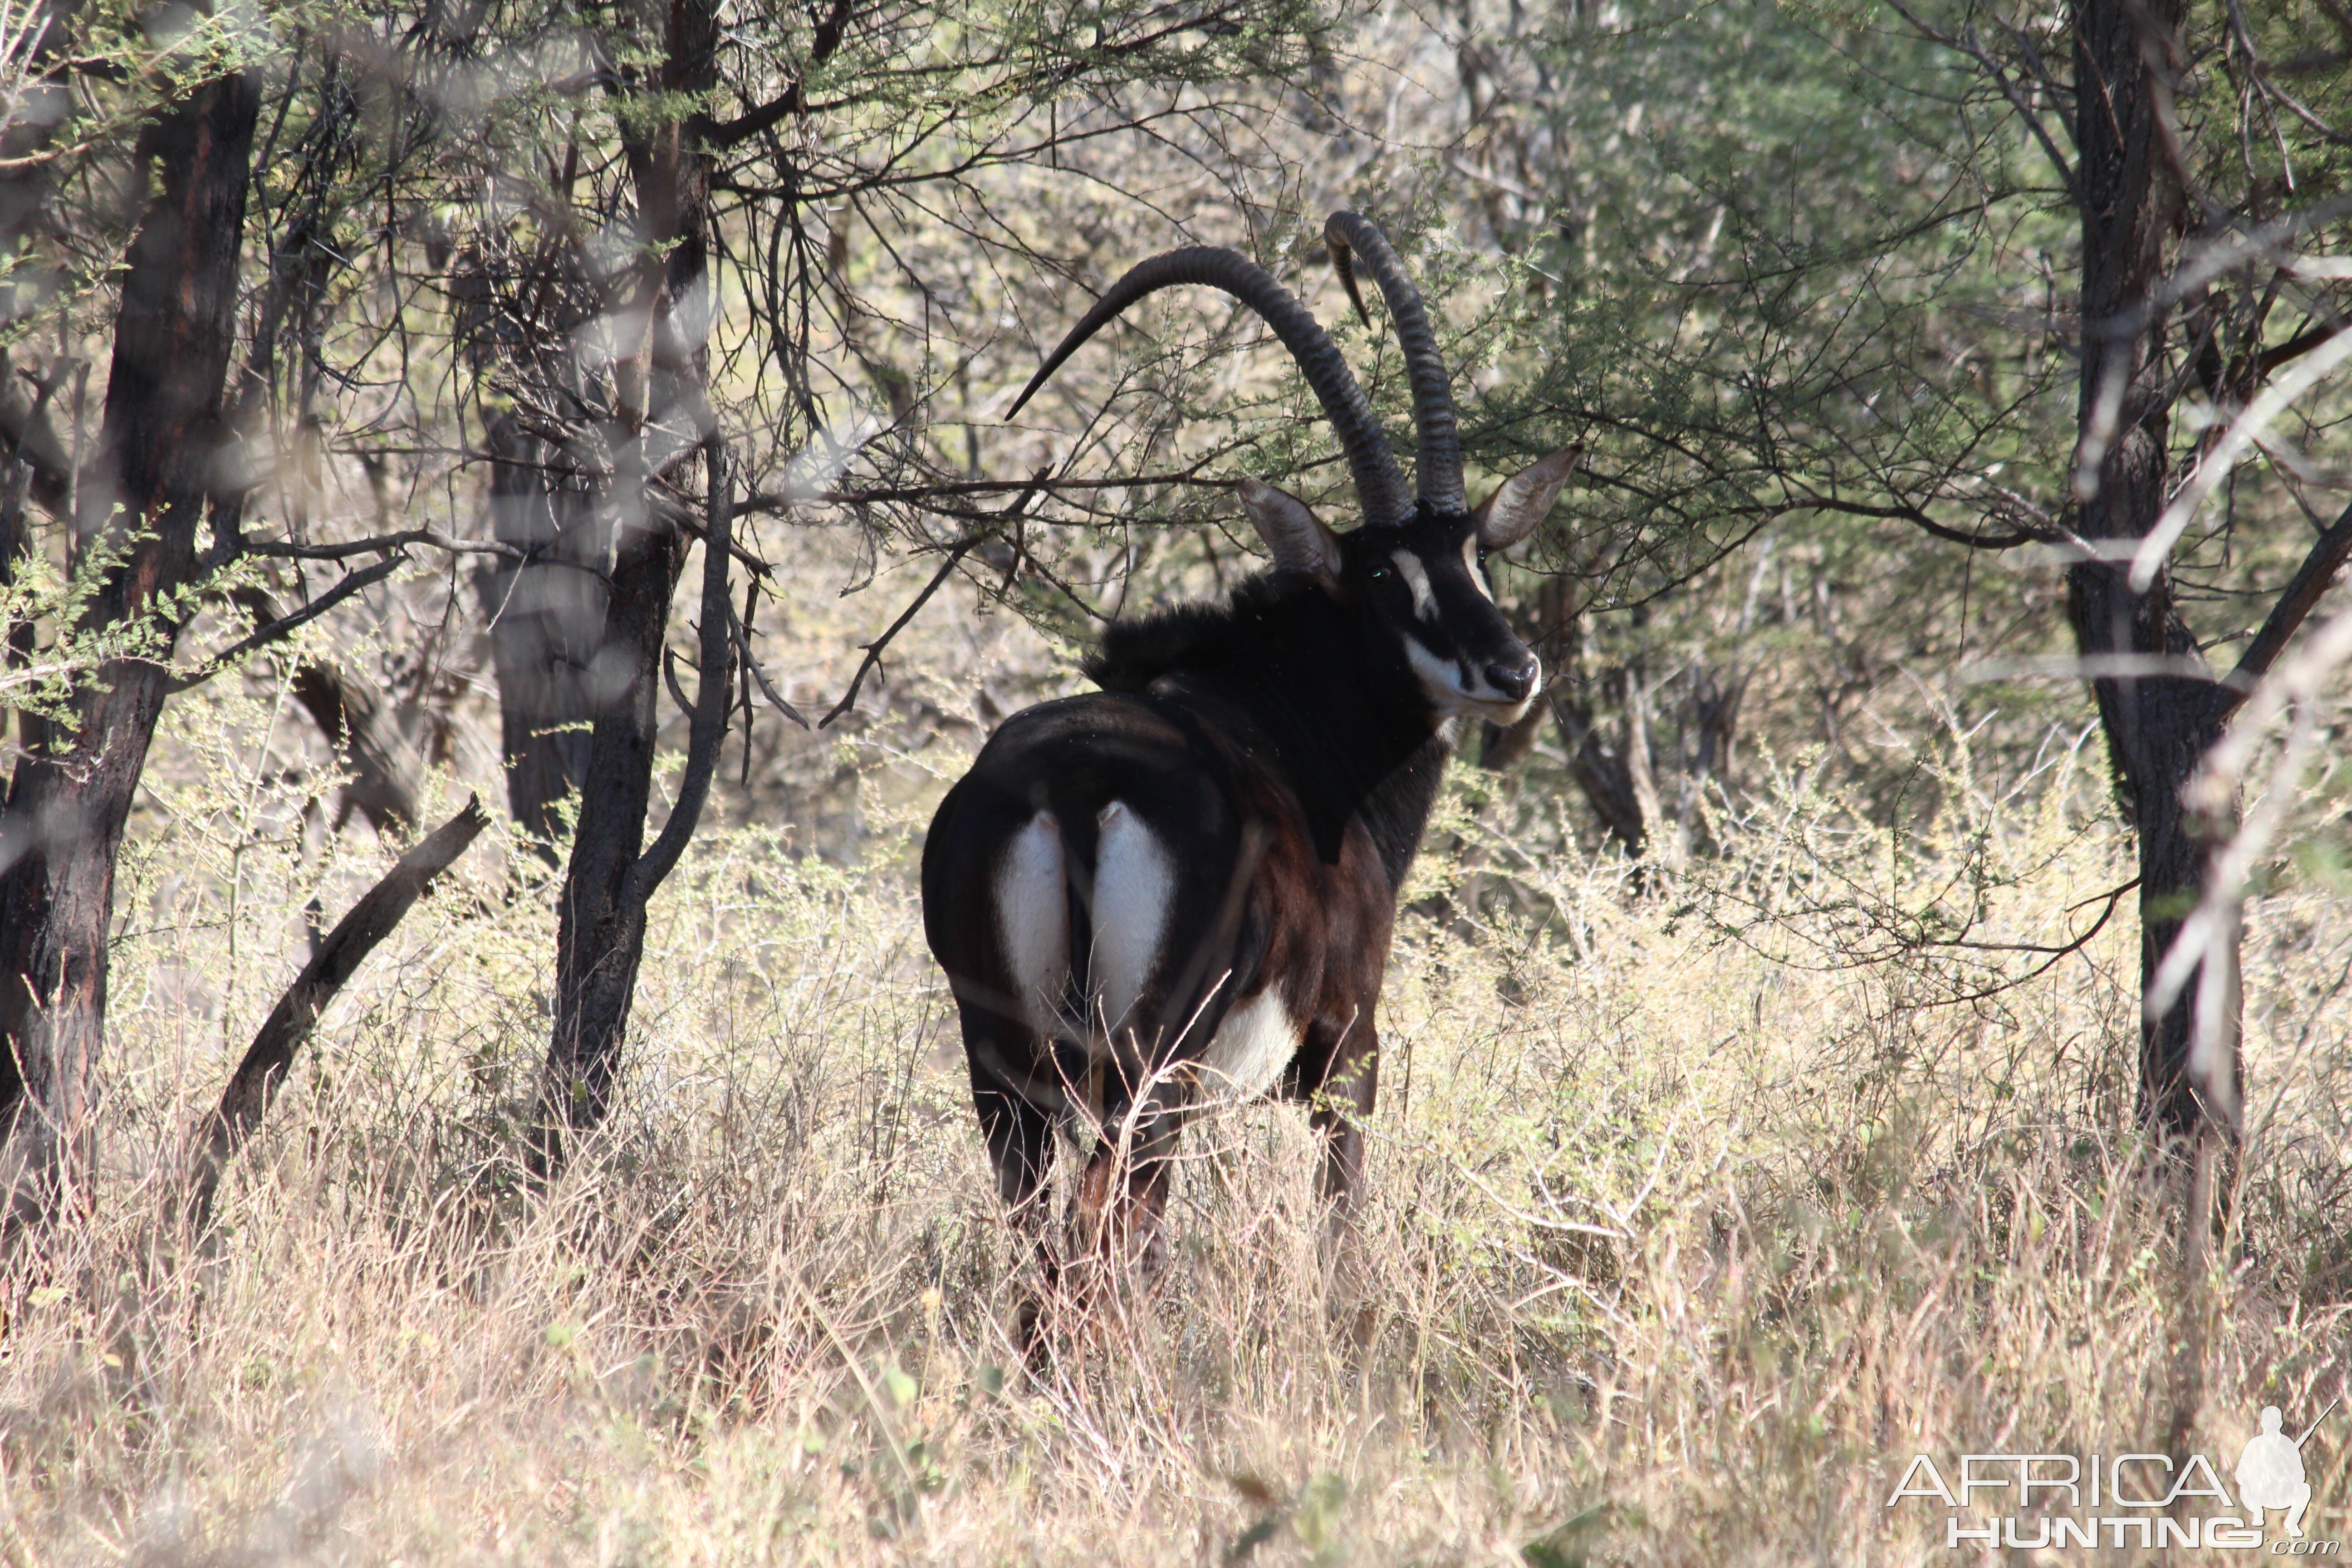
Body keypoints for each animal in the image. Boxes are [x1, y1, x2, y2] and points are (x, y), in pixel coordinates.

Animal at [917, 211, 1580, 1335]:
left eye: (1477, 556)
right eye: (1380, 575)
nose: (1512, 671)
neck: (1294, 731)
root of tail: (1074, 791)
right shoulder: (1347, 1053)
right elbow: (1341, 1228)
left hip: (1006, 1076)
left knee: (1043, 1251)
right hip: (1149, 1075)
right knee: (1108, 1234)